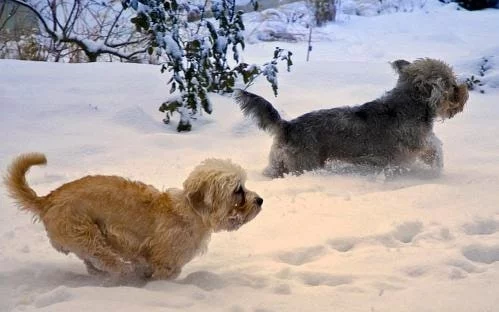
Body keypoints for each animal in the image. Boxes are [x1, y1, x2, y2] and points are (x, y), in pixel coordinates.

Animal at [3, 154, 264, 280]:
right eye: (238, 190)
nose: (260, 200)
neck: (191, 212)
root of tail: (47, 199)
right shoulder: (165, 263)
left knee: (93, 265)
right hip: (88, 237)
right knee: (109, 262)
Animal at [236, 58, 470, 178]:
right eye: (450, 83)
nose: (465, 90)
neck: (410, 103)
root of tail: (287, 126)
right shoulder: (414, 147)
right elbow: (434, 148)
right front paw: (438, 169)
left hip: (279, 163)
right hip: (304, 164)